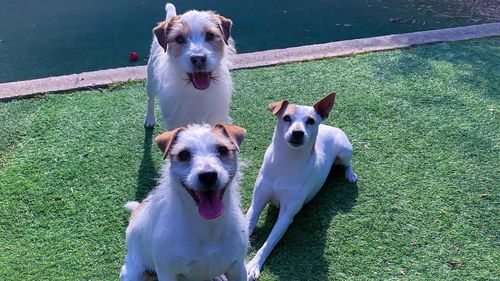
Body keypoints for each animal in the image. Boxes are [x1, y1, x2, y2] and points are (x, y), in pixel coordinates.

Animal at [119, 124, 248, 280]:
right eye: (184, 154)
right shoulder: (166, 272)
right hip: (134, 271)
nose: (208, 175)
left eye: (222, 150)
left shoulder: (238, 267)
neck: (207, 227)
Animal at [145, 2, 236, 130]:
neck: (196, 92)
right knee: (150, 98)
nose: (198, 59)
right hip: (151, 80)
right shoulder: (176, 121)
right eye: (179, 38)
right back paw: (149, 119)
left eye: (210, 35)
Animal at [244, 93, 358, 278]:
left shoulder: (287, 214)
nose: (298, 132)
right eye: (286, 118)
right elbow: (246, 230)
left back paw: (350, 174)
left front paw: (253, 264)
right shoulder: (256, 204)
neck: (286, 161)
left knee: (347, 163)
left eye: (310, 121)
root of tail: (329, 126)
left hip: (345, 151)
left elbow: (269, 243)